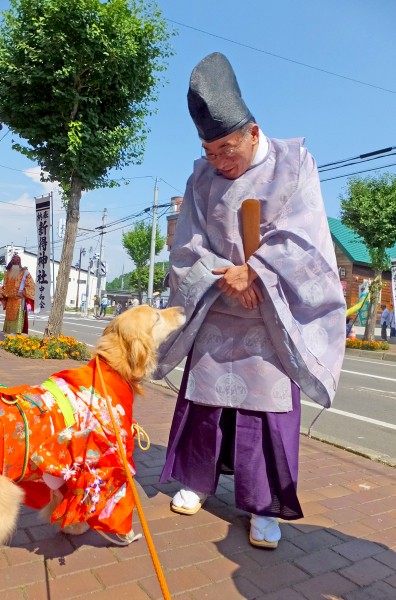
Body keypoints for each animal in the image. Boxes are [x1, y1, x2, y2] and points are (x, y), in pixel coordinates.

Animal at [0, 308, 186, 548]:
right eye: (157, 316)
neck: (112, 368)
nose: (183, 309)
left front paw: (70, 526)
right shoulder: (113, 459)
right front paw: (120, 534)